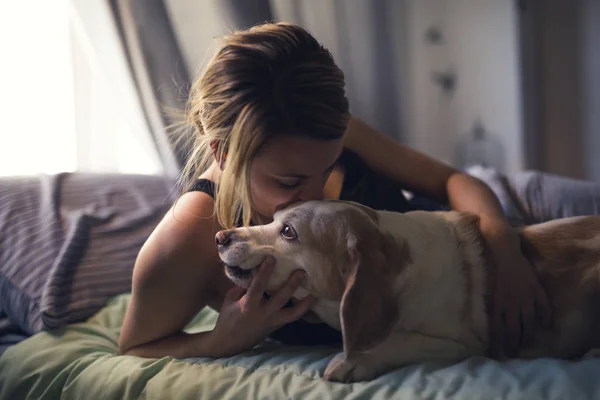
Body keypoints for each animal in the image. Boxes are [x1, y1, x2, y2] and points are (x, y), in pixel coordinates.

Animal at [216, 200, 600, 382]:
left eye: (289, 232)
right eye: (272, 218)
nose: (220, 236)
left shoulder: (462, 344)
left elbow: (400, 339)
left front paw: (354, 360)